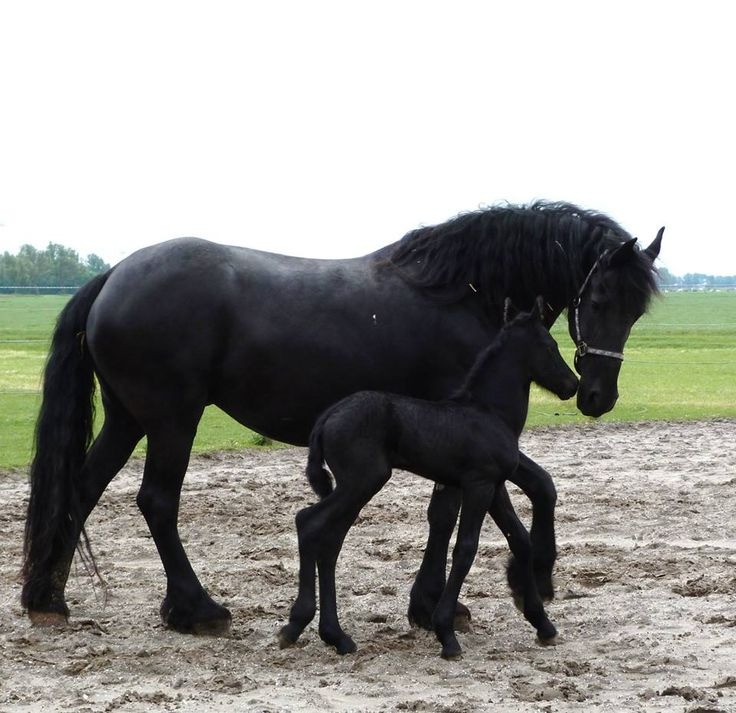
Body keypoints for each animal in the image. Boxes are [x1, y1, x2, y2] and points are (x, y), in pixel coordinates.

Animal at [278, 299, 579, 659]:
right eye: (549, 346)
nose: (571, 385)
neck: (488, 412)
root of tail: (328, 416)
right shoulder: (478, 485)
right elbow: (465, 549)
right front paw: (446, 633)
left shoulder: (493, 486)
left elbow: (519, 539)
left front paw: (542, 623)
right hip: (361, 482)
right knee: (310, 523)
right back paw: (302, 627)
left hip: (354, 487)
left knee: (328, 538)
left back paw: (333, 635)